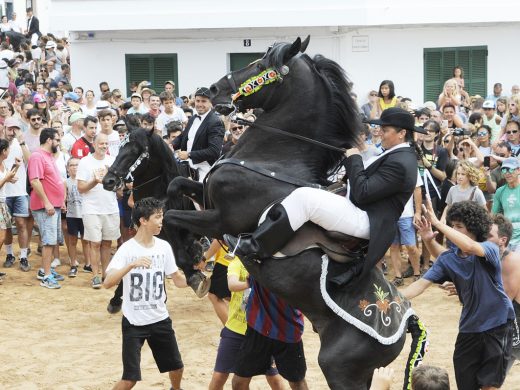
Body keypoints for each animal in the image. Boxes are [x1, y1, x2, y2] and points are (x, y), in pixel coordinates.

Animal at [162, 35, 414, 386]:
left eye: (258, 64)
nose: (211, 90)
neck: (275, 159)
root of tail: (405, 322)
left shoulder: (221, 219)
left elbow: (172, 217)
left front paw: (192, 267)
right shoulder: (206, 196)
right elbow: (174, 188)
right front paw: (193, 252)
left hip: (340, 369)